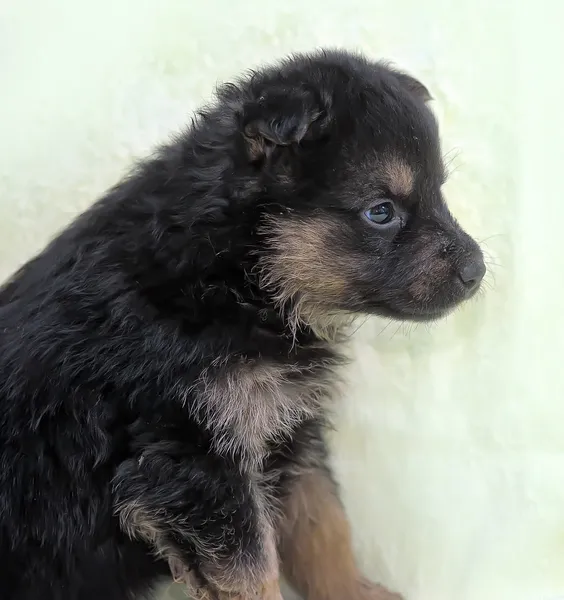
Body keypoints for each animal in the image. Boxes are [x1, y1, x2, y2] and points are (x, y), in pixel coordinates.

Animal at [0, 51, 484, 600]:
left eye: (438, 193)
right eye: (380, 212)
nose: (477, 271)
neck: (231, 277)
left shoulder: (285, 433)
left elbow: (326, 528)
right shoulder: (199, 464)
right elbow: (256, 571)